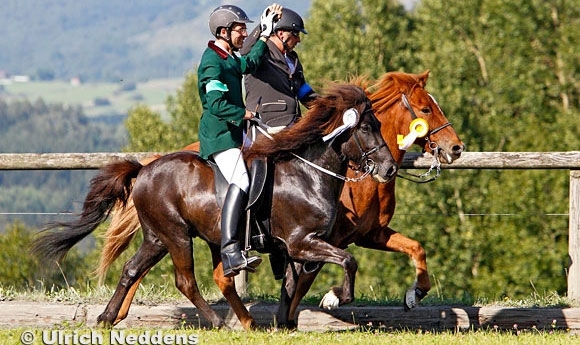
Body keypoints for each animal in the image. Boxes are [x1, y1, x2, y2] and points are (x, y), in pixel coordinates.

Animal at [29, 82, 396, 330]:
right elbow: (347, 260)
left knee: (134, 269)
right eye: (366, 127)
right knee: (186, 281)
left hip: (159, 237)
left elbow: (291, 285)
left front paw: (284, 323)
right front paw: (335, 297)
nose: (390, 168)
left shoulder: (300, 247)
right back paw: (219, 322)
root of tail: (144, 169)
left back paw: (107, 318)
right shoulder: (301, 242)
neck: (309, 174)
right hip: (177, 235)